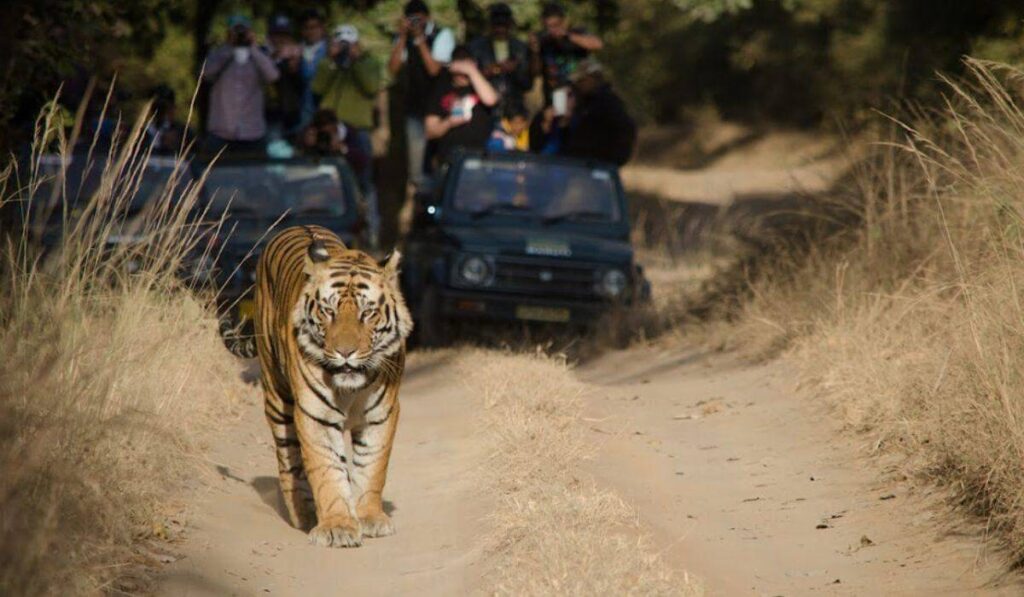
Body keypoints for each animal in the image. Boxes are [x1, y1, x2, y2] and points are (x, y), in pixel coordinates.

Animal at [253, 225, 412, 548]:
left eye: (367, 313)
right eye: (329, 311)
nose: (345, 352)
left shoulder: (382, 414)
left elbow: (372, 467)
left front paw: (369, 518)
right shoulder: (316, 415)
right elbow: (327, 471)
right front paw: (337, 526)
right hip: (276, 397)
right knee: (288, 460)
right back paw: (301, 513)